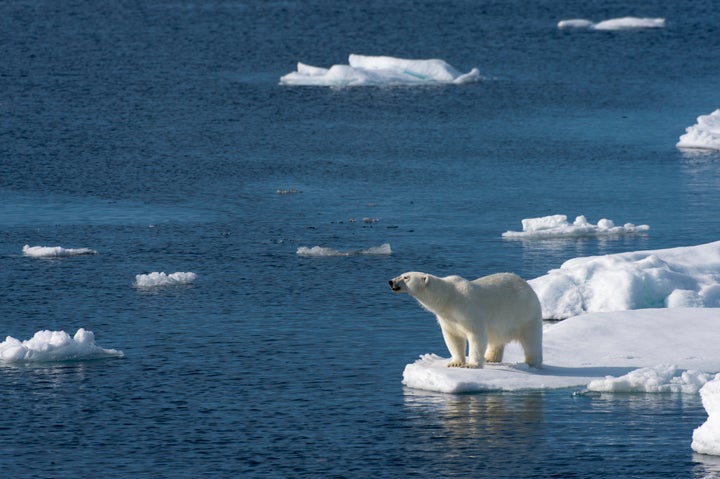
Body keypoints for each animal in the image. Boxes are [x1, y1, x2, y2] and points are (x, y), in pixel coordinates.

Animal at [390, 272, 544, 370]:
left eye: (406, 277)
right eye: (402, 273)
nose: (391, 281)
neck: (448, 298)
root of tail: (527, 285)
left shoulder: (468, 309)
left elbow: (476, 336)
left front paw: (472, 364)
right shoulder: (447, 318)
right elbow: (453, 338)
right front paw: (455, 363)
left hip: (525, 313)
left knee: (532, 340)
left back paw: (532, 363)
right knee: (496, 340)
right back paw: (490, 358)